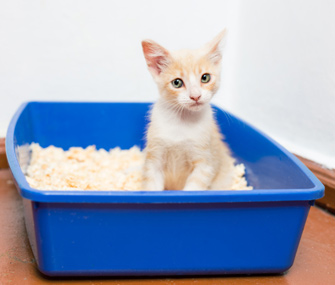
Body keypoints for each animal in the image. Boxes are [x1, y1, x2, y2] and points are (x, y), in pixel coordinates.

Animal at [140, 28, 235, 190]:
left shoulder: (204, 163)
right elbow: (151, 186)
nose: (195, 96)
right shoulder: (154, 158)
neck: (182, 121)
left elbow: (193, 189)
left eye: (205, 78)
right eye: (177, 83)